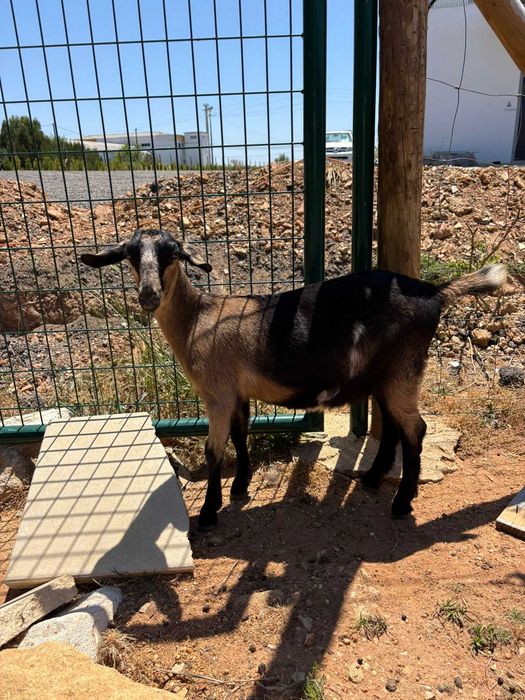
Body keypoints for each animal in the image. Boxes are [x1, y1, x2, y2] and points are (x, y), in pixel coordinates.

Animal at [81, 228, 507, 529]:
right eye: (130, 255)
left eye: (172, 254)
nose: (148, 295)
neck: (198, 319)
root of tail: (435, 293)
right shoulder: (237, 392)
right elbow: (241, 433)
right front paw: (240, 487)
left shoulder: (216, 393)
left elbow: (214, 450)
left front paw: (208, 513)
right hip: (385, 374)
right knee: (394, 426)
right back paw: (372, 479)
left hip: (403, 369)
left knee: (415, 430)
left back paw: (401, 503)